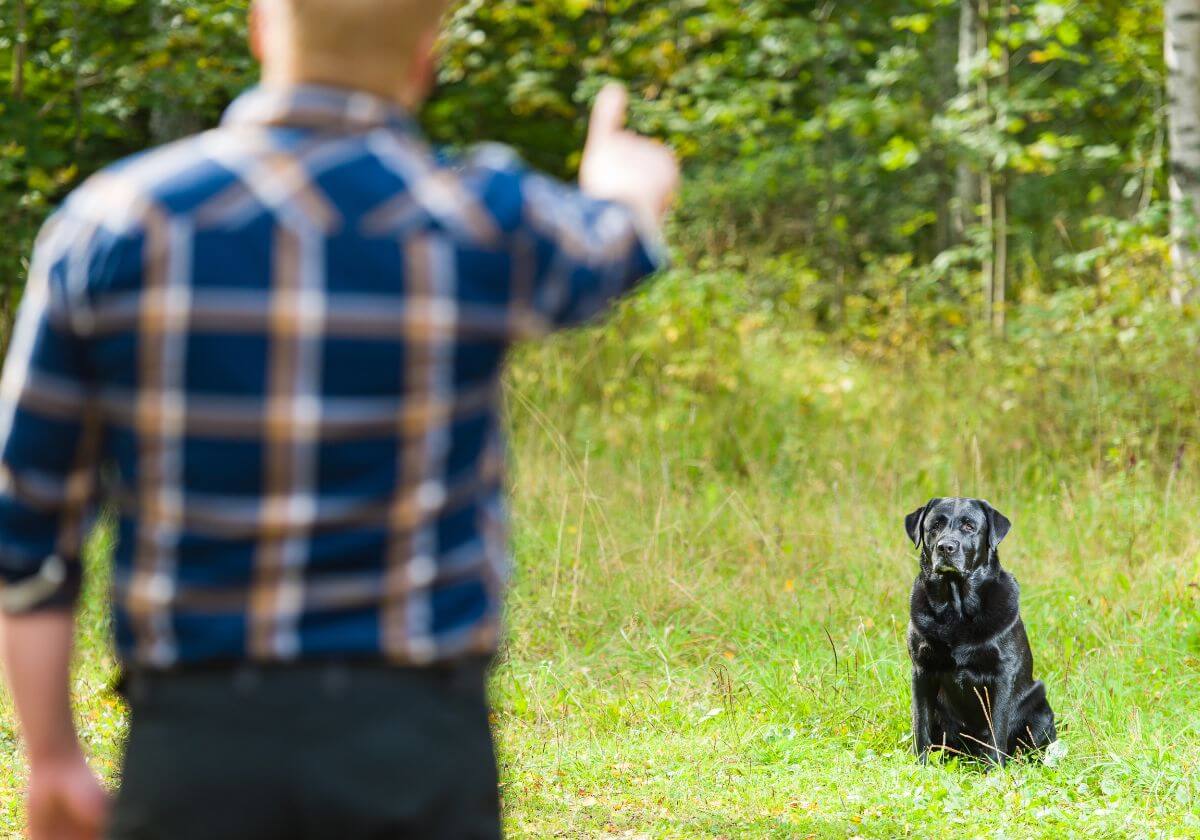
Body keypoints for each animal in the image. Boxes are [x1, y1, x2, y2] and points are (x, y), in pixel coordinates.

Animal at [902, 499, 1056, 768]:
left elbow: (997, 727)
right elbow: (920, 724)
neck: (957, 610)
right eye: (935, 525)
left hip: (1040, 706)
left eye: (969, 526)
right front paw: (921, 765)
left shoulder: (1002, 674)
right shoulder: (921, 670)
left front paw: (994, 769)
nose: (946, 547)